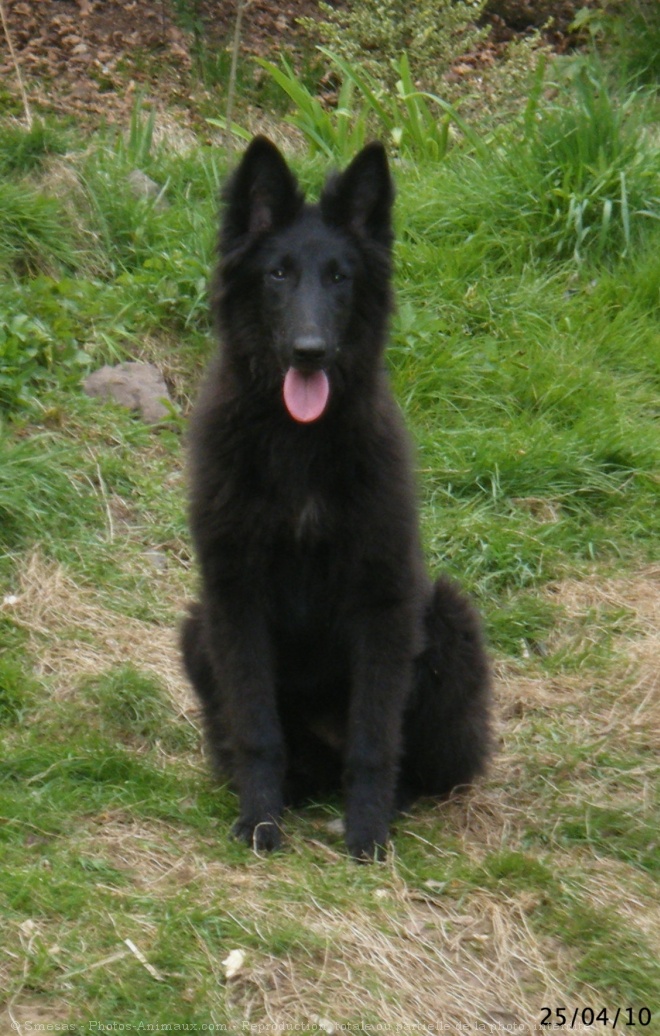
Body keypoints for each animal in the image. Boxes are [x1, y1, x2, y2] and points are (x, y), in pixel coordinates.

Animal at [180, 135, 489, 857]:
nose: (310, 352)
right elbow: (257, 728)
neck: (298, 447)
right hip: (196, 629)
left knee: (415, 763)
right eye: (277, 274)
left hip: (449, 620)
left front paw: (367, 831)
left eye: (340, 277)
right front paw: (259, 822)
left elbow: (375, 738)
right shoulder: (234, 595)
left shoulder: (383, 600)